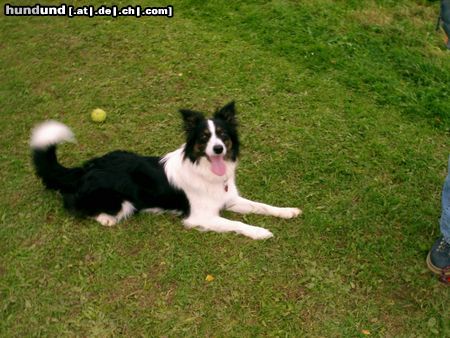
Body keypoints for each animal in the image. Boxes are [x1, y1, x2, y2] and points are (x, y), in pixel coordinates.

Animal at [29, 101, 300, 239]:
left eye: (223, 135)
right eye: (204, 137)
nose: (219, 148)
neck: (204, 169)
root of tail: (87, 168)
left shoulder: (229, 199)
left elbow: (262, 206)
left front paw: (288, 211)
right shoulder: (200, 217)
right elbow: (237, 224)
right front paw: (259, 231)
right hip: (121, 203)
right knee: (72, 202)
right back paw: (105, 218)